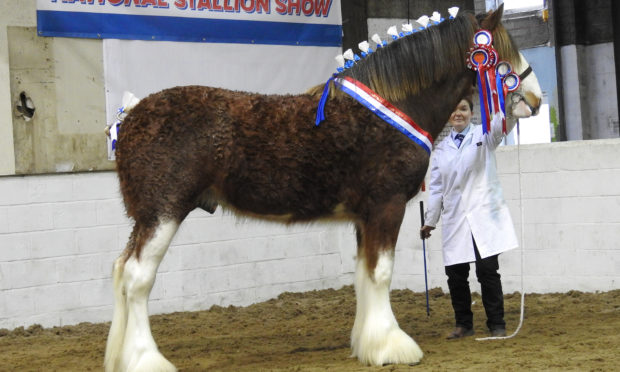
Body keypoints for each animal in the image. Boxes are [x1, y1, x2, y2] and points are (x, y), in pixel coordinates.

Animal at [104, 4, 540, 370]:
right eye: (502, 51)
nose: (534, 100)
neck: (391, 107)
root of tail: (131, 119)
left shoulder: (365, 217)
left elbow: (364, 274)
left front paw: (368, 344)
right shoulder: (386, 205)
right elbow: (381, 273)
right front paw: (393, 347)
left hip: (146, 218)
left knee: (122, 270)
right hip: (163, 212)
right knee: (137, 278)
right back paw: (146, 361)